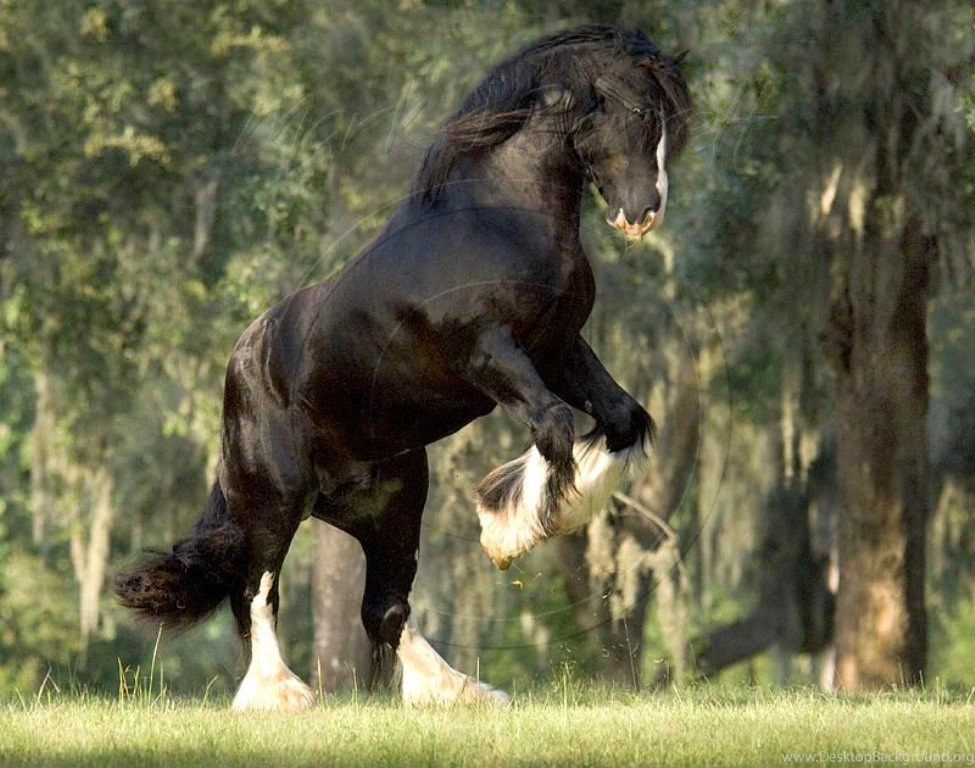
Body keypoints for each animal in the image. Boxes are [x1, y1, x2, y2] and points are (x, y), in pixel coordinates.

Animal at [115, 24, 691, 710]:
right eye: (640, 113)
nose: (643, 213)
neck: (496, 219)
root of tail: (241, 367)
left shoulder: (558, 346)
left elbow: (622, 417)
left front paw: (529, 522)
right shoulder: (491, 354)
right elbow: (552, 424)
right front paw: (506, 536)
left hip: (390, 506)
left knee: (383, 609)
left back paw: (456, 689)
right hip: (274, 502)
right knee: (257, 594)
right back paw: (282, 695)